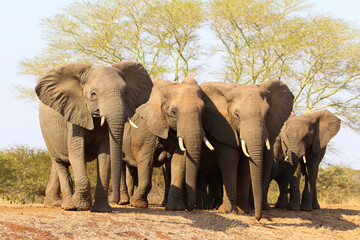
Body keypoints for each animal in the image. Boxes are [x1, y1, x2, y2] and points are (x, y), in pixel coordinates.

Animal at [36, 61, 153, 212]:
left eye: (125, 93)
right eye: (93, 94)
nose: (117, 201)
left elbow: (105, 156)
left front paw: (102, 209)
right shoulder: (75, 117)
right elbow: (77, 153)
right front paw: (81, 205)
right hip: (47, 133)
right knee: (60, 163)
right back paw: (68, 206)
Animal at [201, 79, 294, 220]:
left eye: (267, 114)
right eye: (237, 115)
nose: (258, 218)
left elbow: (246, 165)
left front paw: (244, 210)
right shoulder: (223, 127)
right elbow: (229, 160)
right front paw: (228, 211)